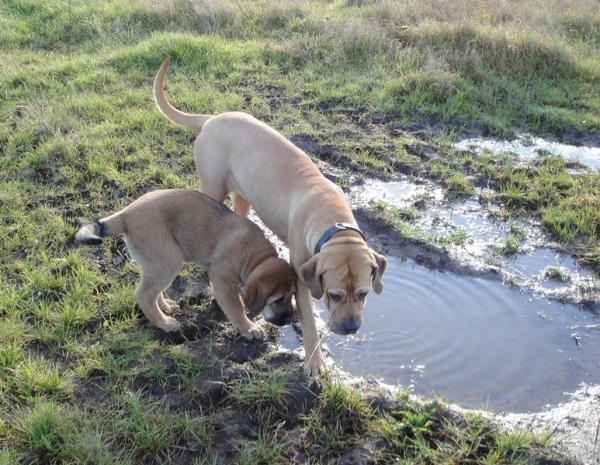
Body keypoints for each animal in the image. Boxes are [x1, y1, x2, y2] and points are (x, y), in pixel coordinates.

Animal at [75, 188, 298, 338]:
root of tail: (127, 213)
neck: (254, 257)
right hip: (169, 259)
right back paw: (164, 323)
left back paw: (165, 306)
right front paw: (248, 328)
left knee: (152, 290)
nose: (290, 319)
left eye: (292, 296)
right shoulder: (223, 281)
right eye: (278, 299)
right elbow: (237, 307)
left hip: (157, 263)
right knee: (144, 295)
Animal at [154, 58, 390, 374]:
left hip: (242, 195)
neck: (333, 221)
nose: (351, 328)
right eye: (334, 295)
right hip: (213, 187)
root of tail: (212, 118)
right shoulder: (303, 279)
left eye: (364, 294)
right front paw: (315, 362)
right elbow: (310, 323)